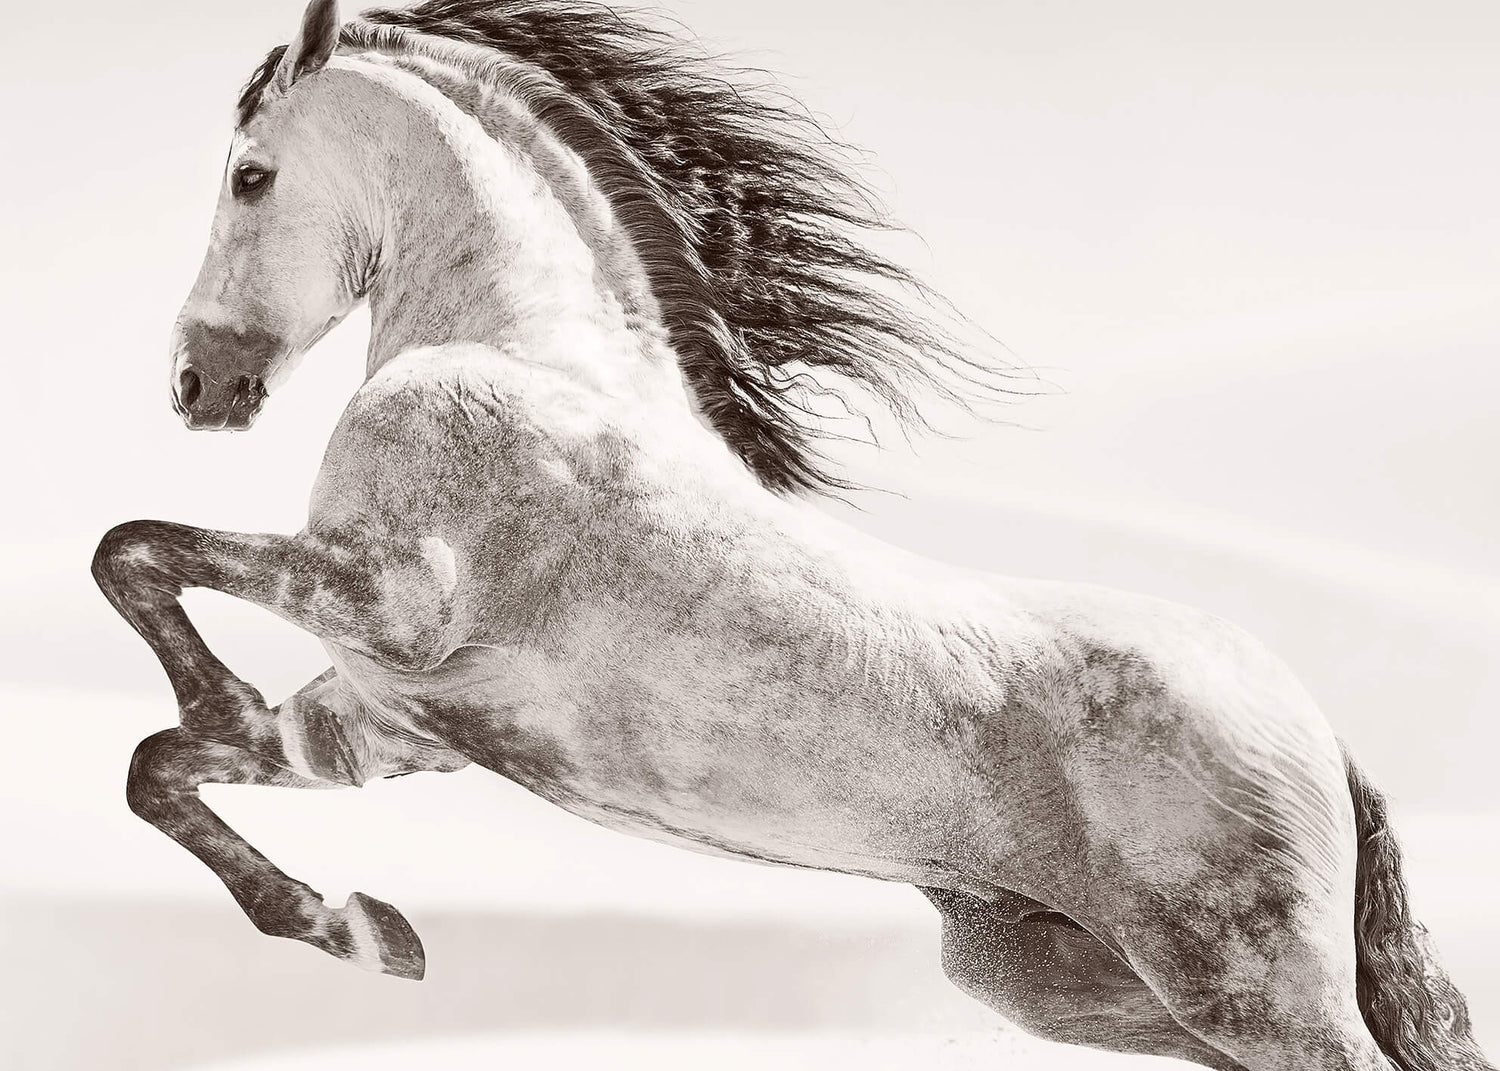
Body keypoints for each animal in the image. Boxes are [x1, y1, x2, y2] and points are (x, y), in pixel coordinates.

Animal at [92, 2, 1491, 1069]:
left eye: (250, 173)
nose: (198, 387)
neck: (525, 354)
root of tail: (1317, 729)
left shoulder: (389, 597)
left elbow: (132, 549)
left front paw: (228, 711)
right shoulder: (382, 727)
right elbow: (161, 765)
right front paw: (360, 926)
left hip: (1245, 984)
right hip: (1066, 981)